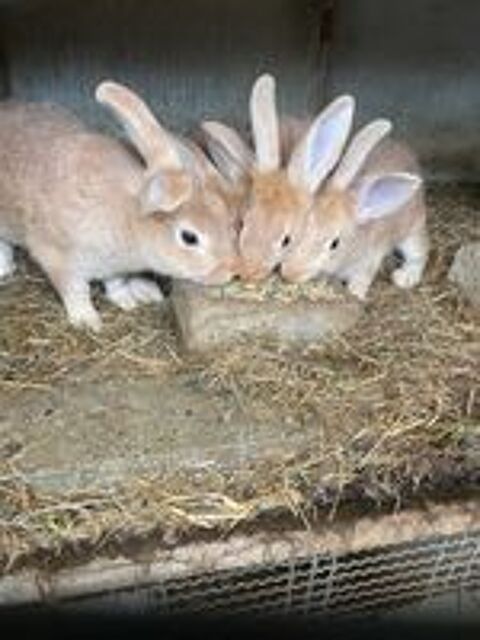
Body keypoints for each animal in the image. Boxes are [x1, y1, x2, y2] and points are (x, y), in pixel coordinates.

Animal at [0, 81, 240, 331]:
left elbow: (116, 283)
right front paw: (87, 320)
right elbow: (75, 291)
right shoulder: (57, 257)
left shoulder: (113, 267)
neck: (129, 215)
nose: (232, 270)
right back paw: (4, 268)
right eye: (189, 237)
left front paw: (126, 300)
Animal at [280, 117, 429, 300]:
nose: (290, 273)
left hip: (413, 229)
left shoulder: (369, 260)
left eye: (335, 244)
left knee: (420, 252)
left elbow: (363, 279)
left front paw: (355, 293)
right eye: (302, 227)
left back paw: (405, 277)